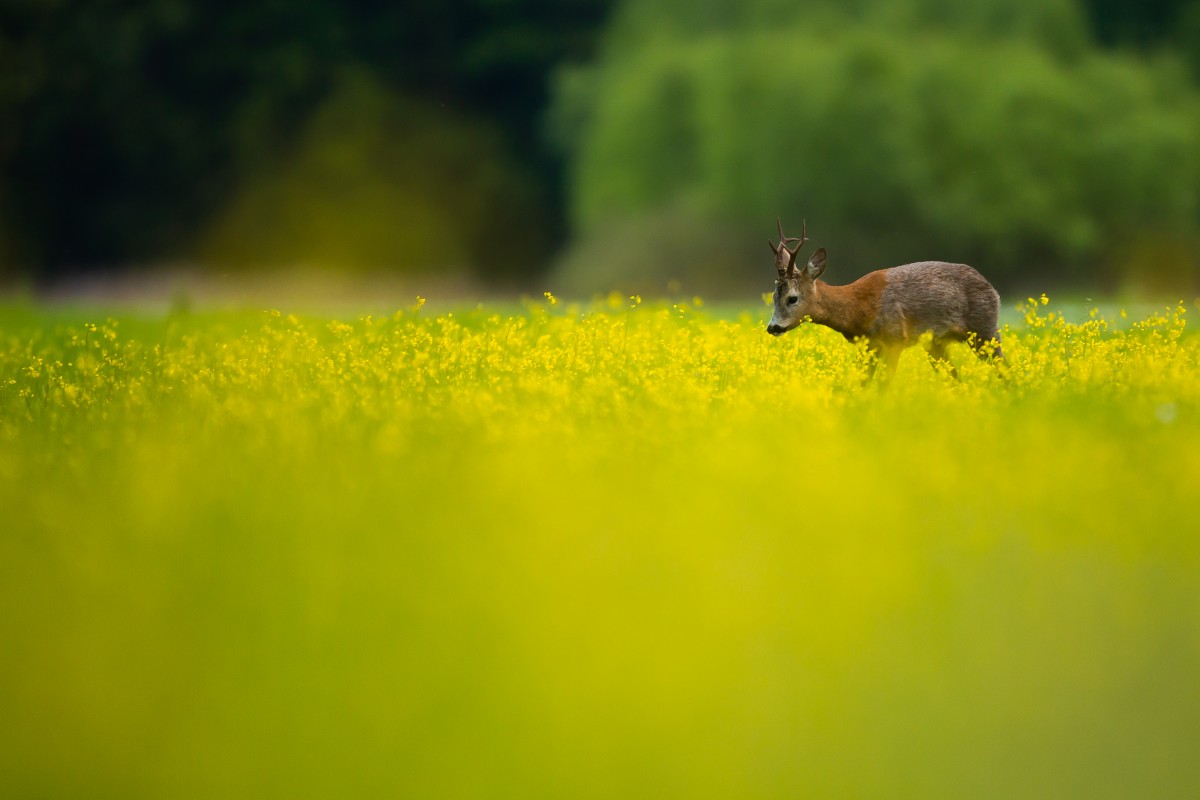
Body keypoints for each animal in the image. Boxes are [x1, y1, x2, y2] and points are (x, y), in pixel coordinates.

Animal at [768, 219, 1003, 381]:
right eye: (774, 296)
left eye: (792, 298)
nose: (772, 327)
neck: (857, 308)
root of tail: (993, 289)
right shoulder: (868, 347)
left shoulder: (894, 339)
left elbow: (884, 385)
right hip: (936, 343)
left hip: (985, 330)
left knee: (1004, 370)